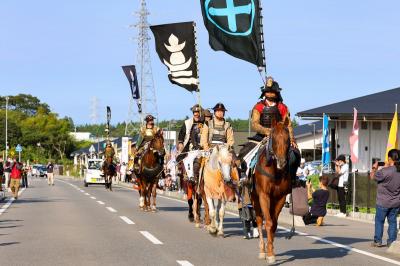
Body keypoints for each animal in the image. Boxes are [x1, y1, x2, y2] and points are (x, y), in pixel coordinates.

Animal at [253, 121, 290, 264]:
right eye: (274, 138)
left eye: (287, 139)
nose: (282, 162)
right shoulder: (264, 195)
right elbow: (268, 223)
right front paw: (268, 254)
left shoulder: (281, 197)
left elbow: (274, 224)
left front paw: (272, 251)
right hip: (255, 199)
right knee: (259, 220)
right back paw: (262, 250)